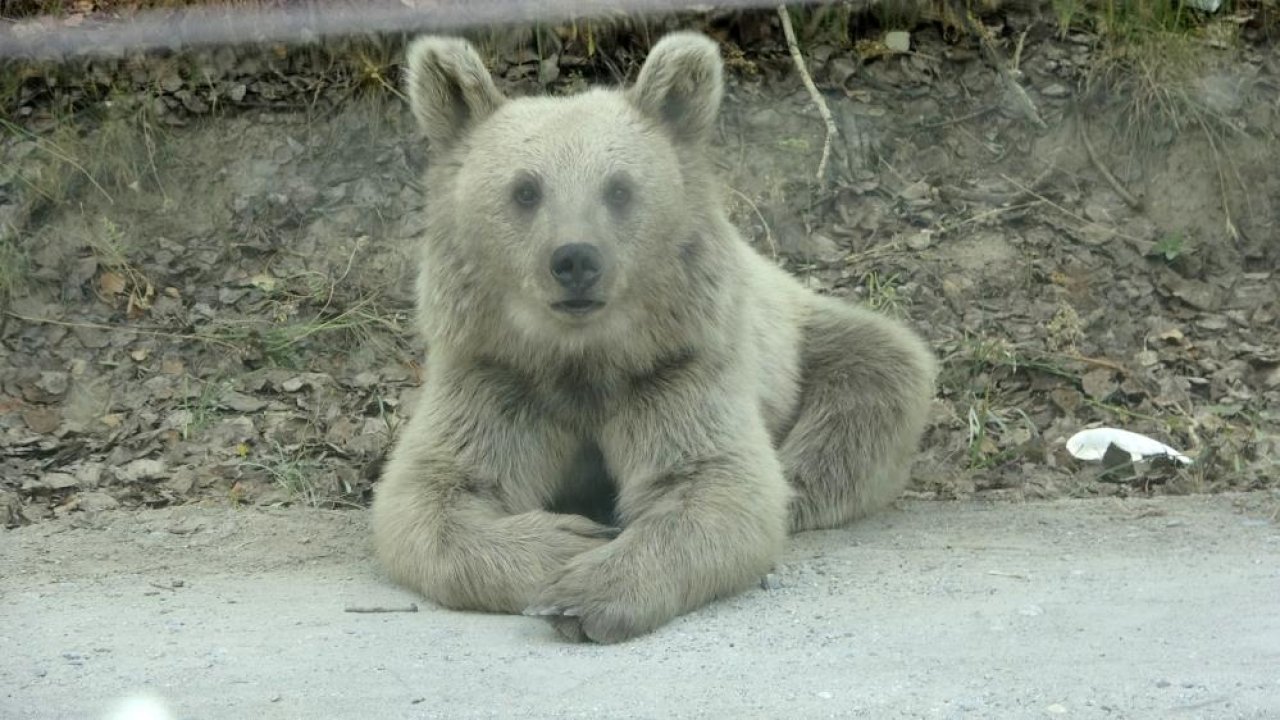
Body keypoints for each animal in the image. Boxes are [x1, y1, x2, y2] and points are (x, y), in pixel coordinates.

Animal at [371, 30, 942, 640]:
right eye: (525, 191)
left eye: (620, 189)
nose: (575, 259)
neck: (581, 356)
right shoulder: (496, 374)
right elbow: (432, 490)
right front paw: (567, 541)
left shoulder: (676, 365)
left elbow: (715, 481)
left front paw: (586, 592)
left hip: (802, 336)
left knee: (877, 376)